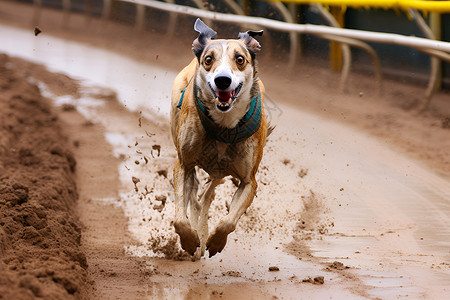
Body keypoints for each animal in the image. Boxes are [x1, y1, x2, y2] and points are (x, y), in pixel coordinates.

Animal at [170, 18, 270, 258]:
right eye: (208, 59)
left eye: (240, 59)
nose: (222, 80)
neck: (224, 124)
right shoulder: (184, 165)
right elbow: (179, 219)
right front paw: (190, 240)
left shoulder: (249, 181)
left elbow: (229, 221)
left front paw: (215, 241)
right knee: (195, 195)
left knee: (208, 194)